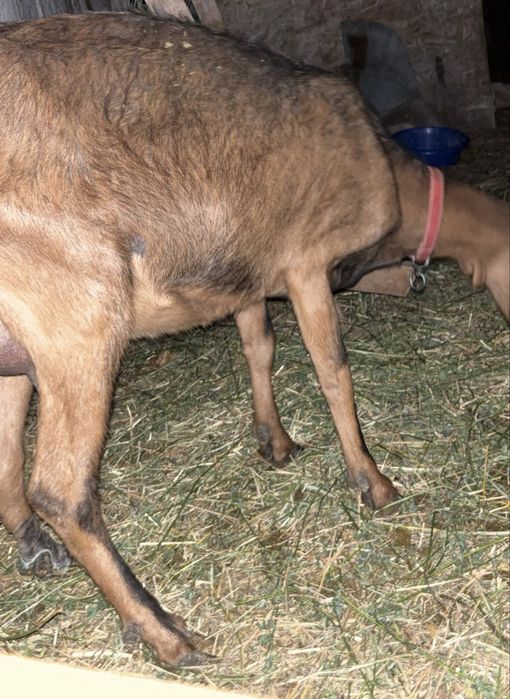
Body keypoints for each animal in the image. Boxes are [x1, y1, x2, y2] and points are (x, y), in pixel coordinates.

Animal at [0, 12, 508, 666]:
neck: (390, 174)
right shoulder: (306, 264)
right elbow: (333, 371)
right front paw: (373, 483)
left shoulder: (246, 273)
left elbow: (259, 346)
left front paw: (275, 441)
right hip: (79, 314)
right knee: (62, 490)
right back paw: (164, 632)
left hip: (21, 347)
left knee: (9, 458)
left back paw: (36, 546)